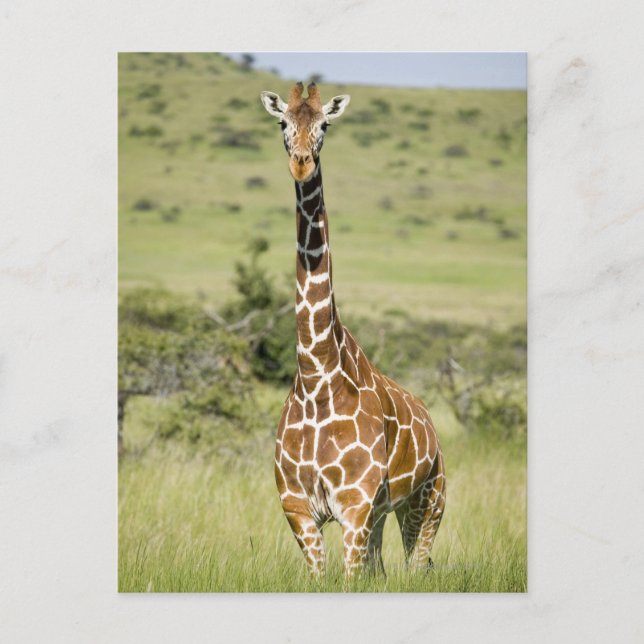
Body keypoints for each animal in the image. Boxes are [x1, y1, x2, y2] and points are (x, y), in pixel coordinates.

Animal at [260, 82, 446, 578]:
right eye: (283, 122)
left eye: (324, 124)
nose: (301, 163)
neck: (316, 376)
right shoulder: (298, 508)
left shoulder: (355, 507)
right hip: (385, 514)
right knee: (383, 567)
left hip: (429, 500)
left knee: (417, 564)